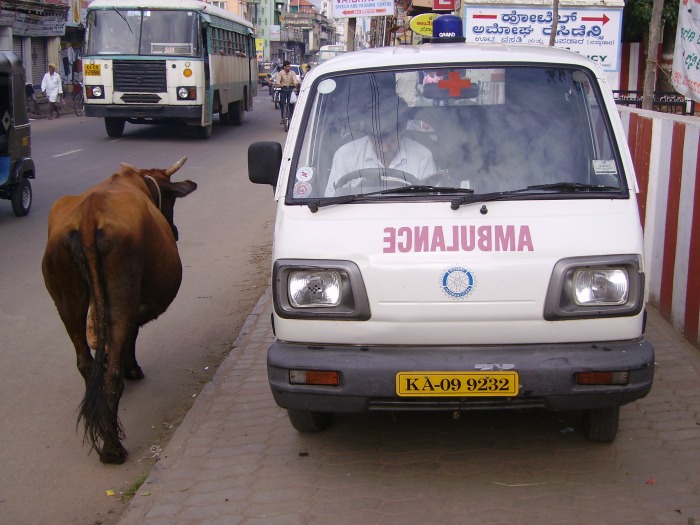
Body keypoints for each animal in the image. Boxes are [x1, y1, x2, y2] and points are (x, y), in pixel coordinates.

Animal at [42, 157, 197, 462]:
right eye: (171, 199)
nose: (174, 231)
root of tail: (88, 216)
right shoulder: (138, 302)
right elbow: (130, 335)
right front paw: (132, 368)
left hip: (66, 300)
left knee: (84, 361)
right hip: (122, 294)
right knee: (113, 371)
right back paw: (112, 446)